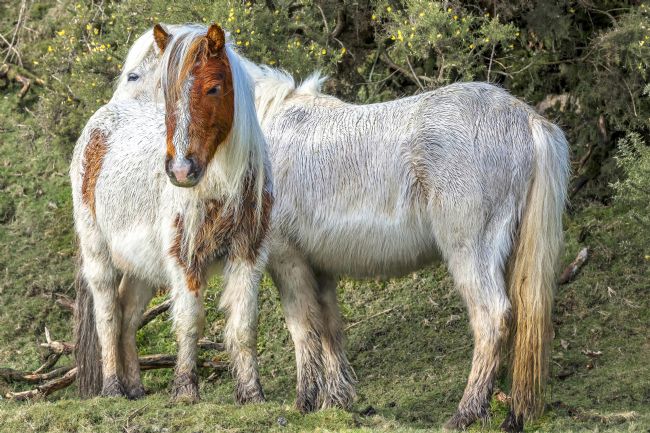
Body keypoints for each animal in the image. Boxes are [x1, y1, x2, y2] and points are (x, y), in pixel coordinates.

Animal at [72, 23, 272, 404]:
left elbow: (245, 325)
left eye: (214, 87)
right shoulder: (184, 259)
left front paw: (252, 393)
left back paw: (135, 387)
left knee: (128, 316)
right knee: (108, 316)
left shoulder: (247, 253)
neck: (220, 186)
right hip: (98, 254)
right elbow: (191, 321)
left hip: (143, 268)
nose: (181, 170)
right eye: (167, 93)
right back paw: (113, 388)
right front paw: (184, 390)